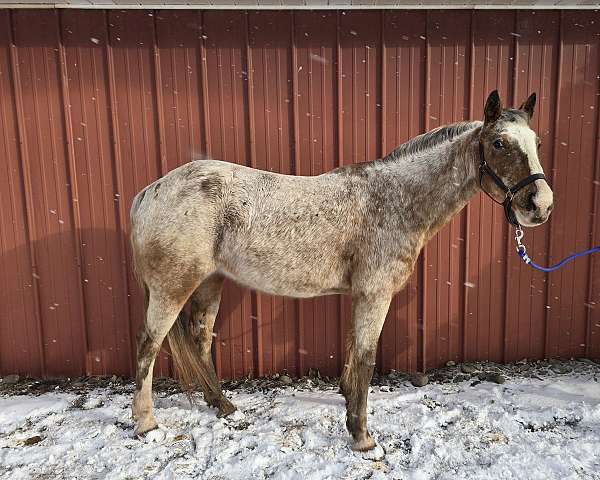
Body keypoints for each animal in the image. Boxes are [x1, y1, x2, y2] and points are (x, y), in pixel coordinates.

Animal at [129, 89, 552, 450]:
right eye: (499, 143)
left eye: (537, 144)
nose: (541, 205)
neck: (395, 200)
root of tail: (148, 192)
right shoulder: (375, 295)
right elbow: (366, 360)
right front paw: (362, 437)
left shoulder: (361, 296)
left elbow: (352, 355)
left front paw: (349, 407)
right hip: (173, 287)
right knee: (149, 346)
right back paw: (147, 424)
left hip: (209, 283)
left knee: (200, 339)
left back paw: (224, 406)